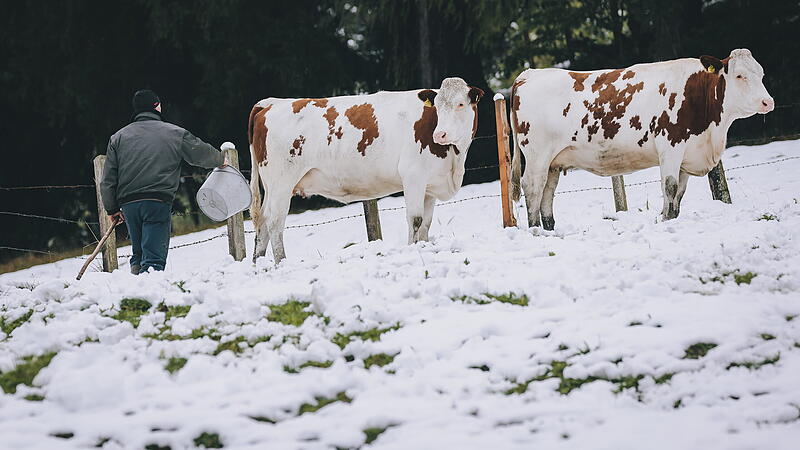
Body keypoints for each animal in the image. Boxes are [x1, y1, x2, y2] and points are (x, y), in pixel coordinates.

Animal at [245, 76, 482, 262]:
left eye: (461, 104)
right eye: (438, 106)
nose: (440, 134)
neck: (454, 159)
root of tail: (272, 103)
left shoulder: (430, 185)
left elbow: (426, 223)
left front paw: (423, 247)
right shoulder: (413, 176)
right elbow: (415, 219)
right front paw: (413, 249)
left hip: (272, 186)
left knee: (263, 222)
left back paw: (260, 264)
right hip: (281, 182)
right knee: (275, 221)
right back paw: (280, 262)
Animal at [512, 48, 776, 229]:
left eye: (762, 74)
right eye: (739, 76)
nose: (768, 102)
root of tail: (529, 74)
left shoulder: (687, 155)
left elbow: (679, 194)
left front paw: (671, 219)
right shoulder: (670, 146)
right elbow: (669, 188)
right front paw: (665, 221)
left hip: (554, 161)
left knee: (547, 193)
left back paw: (549, 231)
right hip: (537, 155)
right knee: (533, 187)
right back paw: (535, 230)